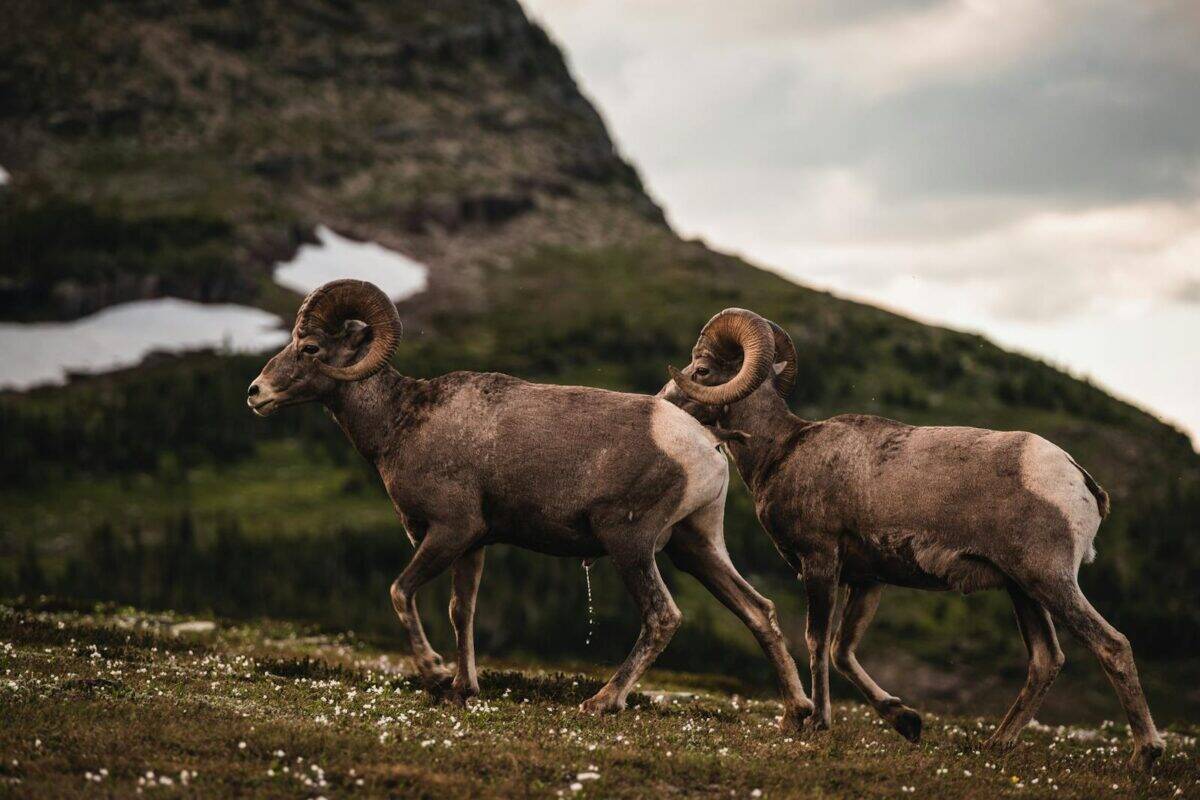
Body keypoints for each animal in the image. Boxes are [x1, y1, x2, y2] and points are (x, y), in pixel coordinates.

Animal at [246, 280, 813, 725]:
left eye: (310, 347)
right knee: (758, 610)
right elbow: (462, 610)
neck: (402, 422)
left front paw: (435, 676)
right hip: (695, 547)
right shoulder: (472, 544)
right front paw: (463, 690)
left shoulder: (447, 530)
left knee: (662, 617)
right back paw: (798, 711)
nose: (255, 393)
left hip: (630, 544)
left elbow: (400, 591)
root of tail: (704, 444)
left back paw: (601, 702)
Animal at [659, 308, 1165, 771]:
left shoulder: (820, 564)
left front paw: (818, 723)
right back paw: (996, 745)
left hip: (1050, 581)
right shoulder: (867, 580)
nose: (661, 402)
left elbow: (817, 642)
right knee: (1046, 660)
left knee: (1112, 645)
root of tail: (1079, 479)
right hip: (1023, 590)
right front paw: (906, 720)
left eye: (700, 371)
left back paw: (1145, 754)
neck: (781, 449)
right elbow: (842, 651)